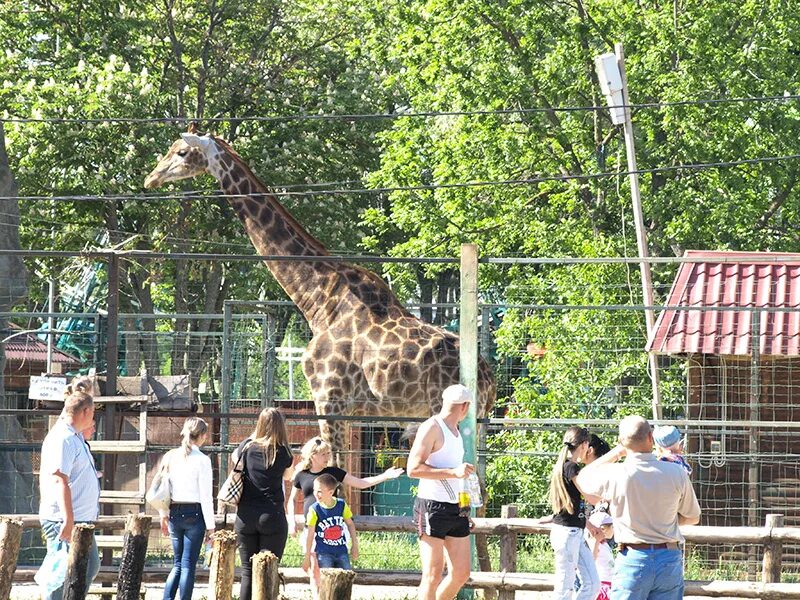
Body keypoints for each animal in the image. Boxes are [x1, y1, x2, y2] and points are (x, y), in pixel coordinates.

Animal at [143, 132, 494, 460]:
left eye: (182, 152)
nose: (151, 178)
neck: (320, 300)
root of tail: (488, 378)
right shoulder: (345, 409)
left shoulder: (328, 398)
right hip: (475, 421)